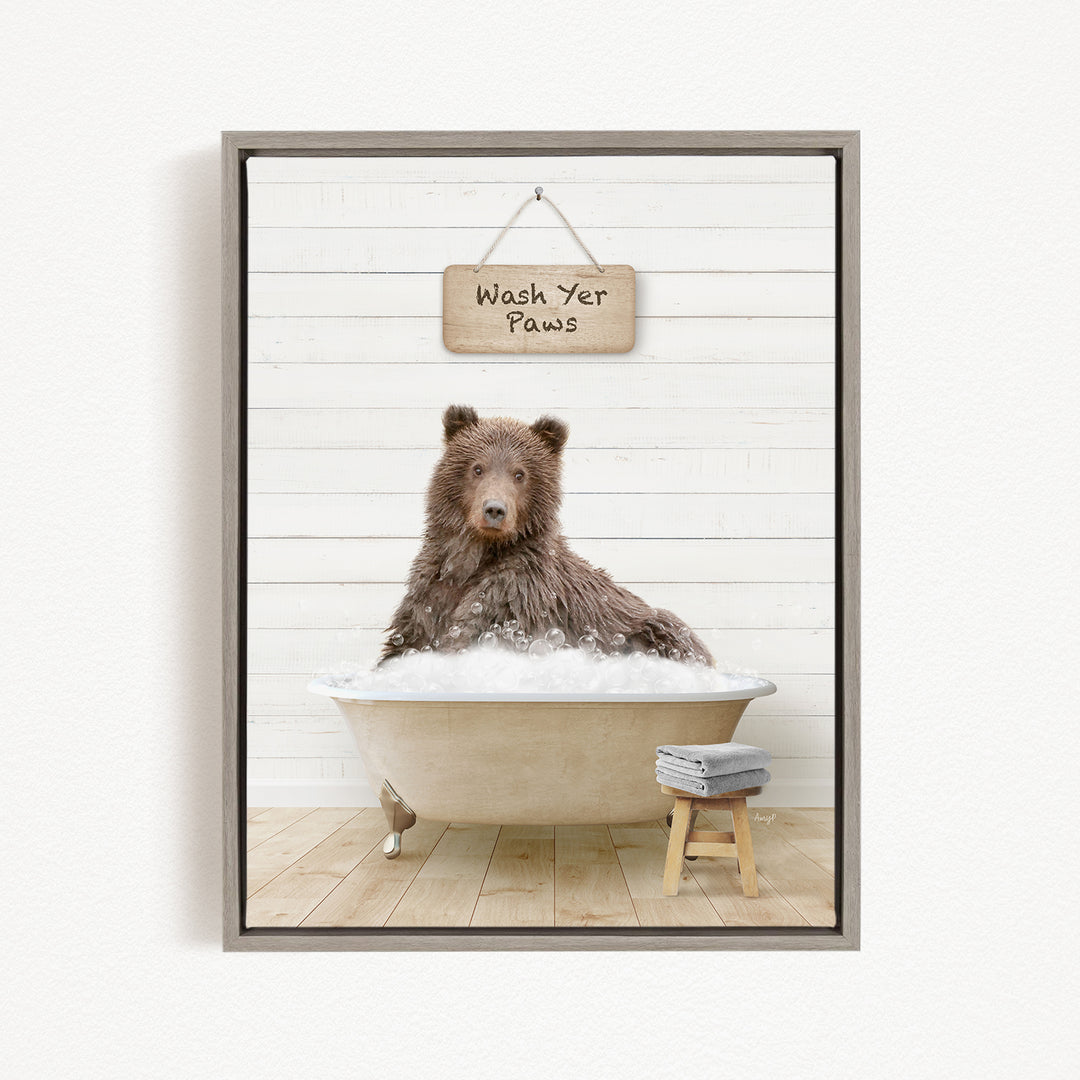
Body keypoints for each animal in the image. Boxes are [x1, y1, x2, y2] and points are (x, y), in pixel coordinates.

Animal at [379, 404, 713, 666]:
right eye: (477, 468)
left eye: (520, 473)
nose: (494, 509)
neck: (476, 556)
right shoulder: (429, 596)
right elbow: (405, 643)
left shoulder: (515, 597)